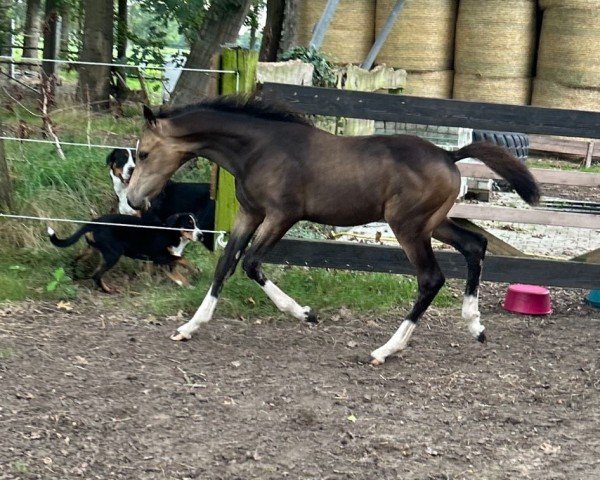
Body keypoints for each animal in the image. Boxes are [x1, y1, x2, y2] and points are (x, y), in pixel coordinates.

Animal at [47, 213, 202, 292]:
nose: (201, 235)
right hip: (113, 254)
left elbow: (180, 276)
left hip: (92, 250)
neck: (171, 232)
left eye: (197, 223)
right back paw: (107, 290)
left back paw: (74, 277)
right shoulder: (161, 257)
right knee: (96, 275)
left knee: (75, 260)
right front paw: (195, 271)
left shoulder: (167, 265)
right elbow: (183, 259)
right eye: (189, 224)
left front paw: (190, 287)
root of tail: (94, 223)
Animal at [126, 98, 540, 368]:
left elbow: (252, 263)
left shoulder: (281, 215)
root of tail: (448, 155)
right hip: (433, 223)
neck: (259, 148)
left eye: (144, 153)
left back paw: (385, 350)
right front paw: (189, 327)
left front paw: (305, 314)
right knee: (475, 245)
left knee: (431, 278)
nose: (132, 200)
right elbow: (226, 263)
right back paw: (475, 326)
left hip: (408, 227)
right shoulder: (250, 213)